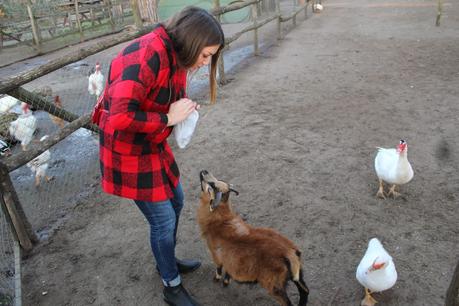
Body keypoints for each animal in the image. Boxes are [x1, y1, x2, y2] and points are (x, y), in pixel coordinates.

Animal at [197, 170, 310, 306]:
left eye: (212, 185)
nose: (204, 171)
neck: (220, 220)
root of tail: (288, 252)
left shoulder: (215, 253)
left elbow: (219, 267)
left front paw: (218, 279)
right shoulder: (228, 256)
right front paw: (226, 280)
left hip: (274, 285)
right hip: (297, 275)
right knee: (305, 291)